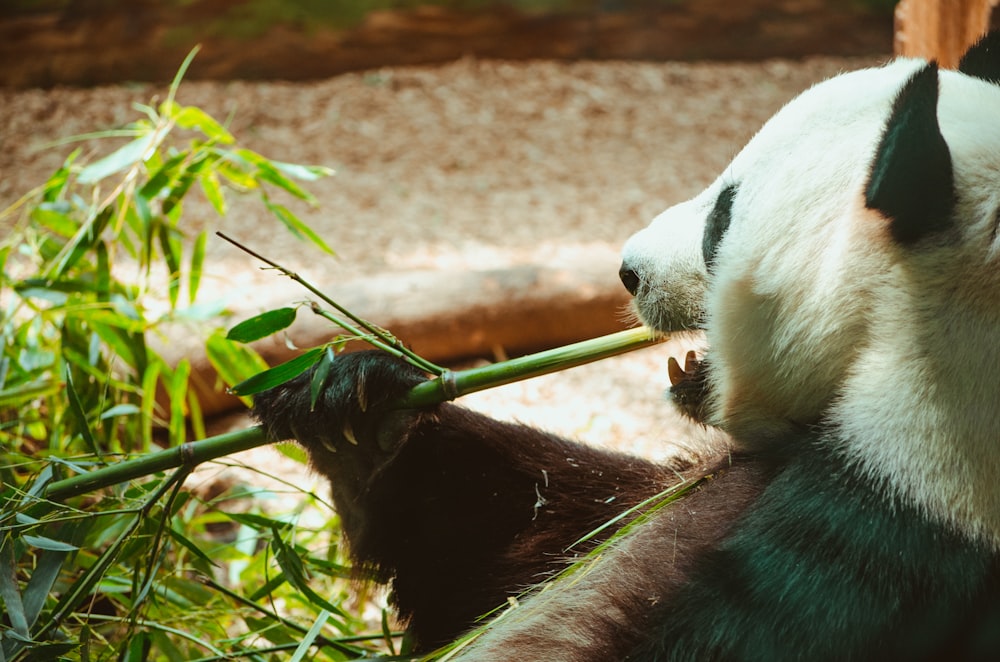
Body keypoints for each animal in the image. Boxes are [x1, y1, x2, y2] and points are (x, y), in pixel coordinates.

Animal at [252, 33, 1000, 660]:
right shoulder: (716, 475)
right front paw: (360, 413)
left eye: (722, 218)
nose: (628, 270)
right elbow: (536, 530)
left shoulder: (890, 537)